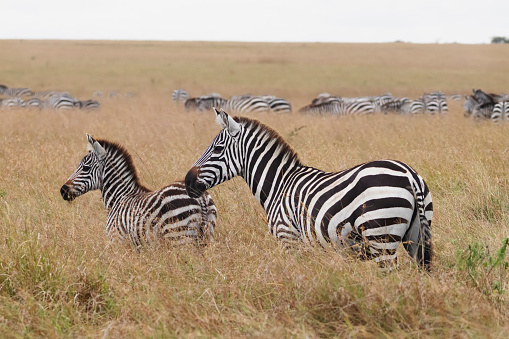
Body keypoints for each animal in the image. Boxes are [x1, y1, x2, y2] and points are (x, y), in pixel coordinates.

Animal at [61, 134, 216, 248]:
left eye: (85, 168)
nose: (63, 190)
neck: (119, 197)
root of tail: (201, 199)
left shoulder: (119, 241)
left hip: (179, 237)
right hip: (206, 237)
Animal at [187, 109, 432, 274]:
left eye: (218, 149)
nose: (188, 180)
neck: (279, 185)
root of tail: (410, 175)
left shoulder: (288, 238)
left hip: (381, 238)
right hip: (416, 237)